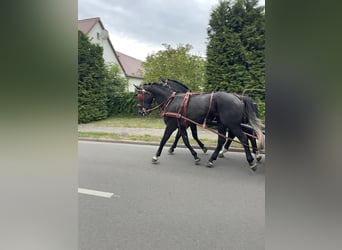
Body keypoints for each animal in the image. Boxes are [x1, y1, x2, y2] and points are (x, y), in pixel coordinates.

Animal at [136, 82, 264, 170]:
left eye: (140, 96)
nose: (141, 112)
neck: (174, 100)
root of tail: (239, 98)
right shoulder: (184, 124)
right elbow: (185, 139)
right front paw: (196, 154)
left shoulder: (173, 124)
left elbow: (164, 139)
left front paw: (156, 156)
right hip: (225, 124)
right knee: (224, 140)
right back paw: (214, 158)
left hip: (233, 124)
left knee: (244, 138)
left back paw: (251, 160)